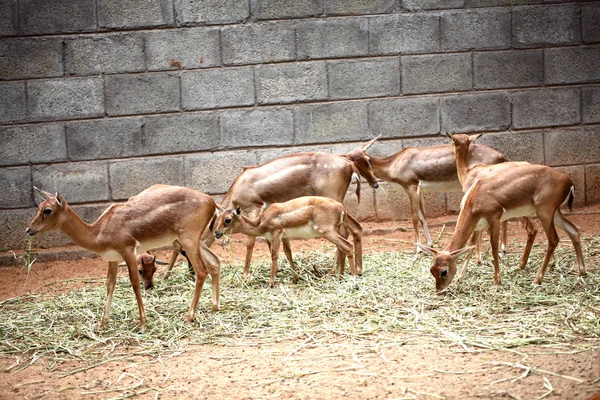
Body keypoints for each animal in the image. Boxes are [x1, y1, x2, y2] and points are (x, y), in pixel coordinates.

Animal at [26, 184, 220, 332]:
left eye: (47, 210)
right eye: (38, 207)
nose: (29, 229)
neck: (99, 232)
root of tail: (211, 201)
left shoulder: (128, 252)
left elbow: (134, 283)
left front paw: (141, 322)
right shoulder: (112, 259)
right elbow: (110, 285)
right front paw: (102, 323)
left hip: (188, 240)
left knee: (201, 271)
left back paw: (189, 317)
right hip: (196, 242)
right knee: (215, 262)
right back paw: (214, 308)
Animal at [213, 196, 364, 288]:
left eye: (227, 219)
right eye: (218, 217)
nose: (216, 233)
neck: (261, 222)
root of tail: (342, 208)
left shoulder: (276, 233)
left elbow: (274, 255)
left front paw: (270, 283)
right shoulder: (284, 237)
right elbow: (288, 253)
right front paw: (295, 278)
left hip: (327, 232)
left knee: (347, 246)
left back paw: (353, 277)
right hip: (334, 231)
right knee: (343, 245)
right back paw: (340, 276)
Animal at [358, 138, 508, 253]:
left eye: (366, 161)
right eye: (356, 162)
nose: (374, 184)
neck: (395, 163)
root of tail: (502, 156)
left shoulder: (411, 187)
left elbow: (414, 217)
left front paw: (418, 249)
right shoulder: (420, 191)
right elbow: (423, 216)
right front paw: (430, 244)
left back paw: (500, 249)